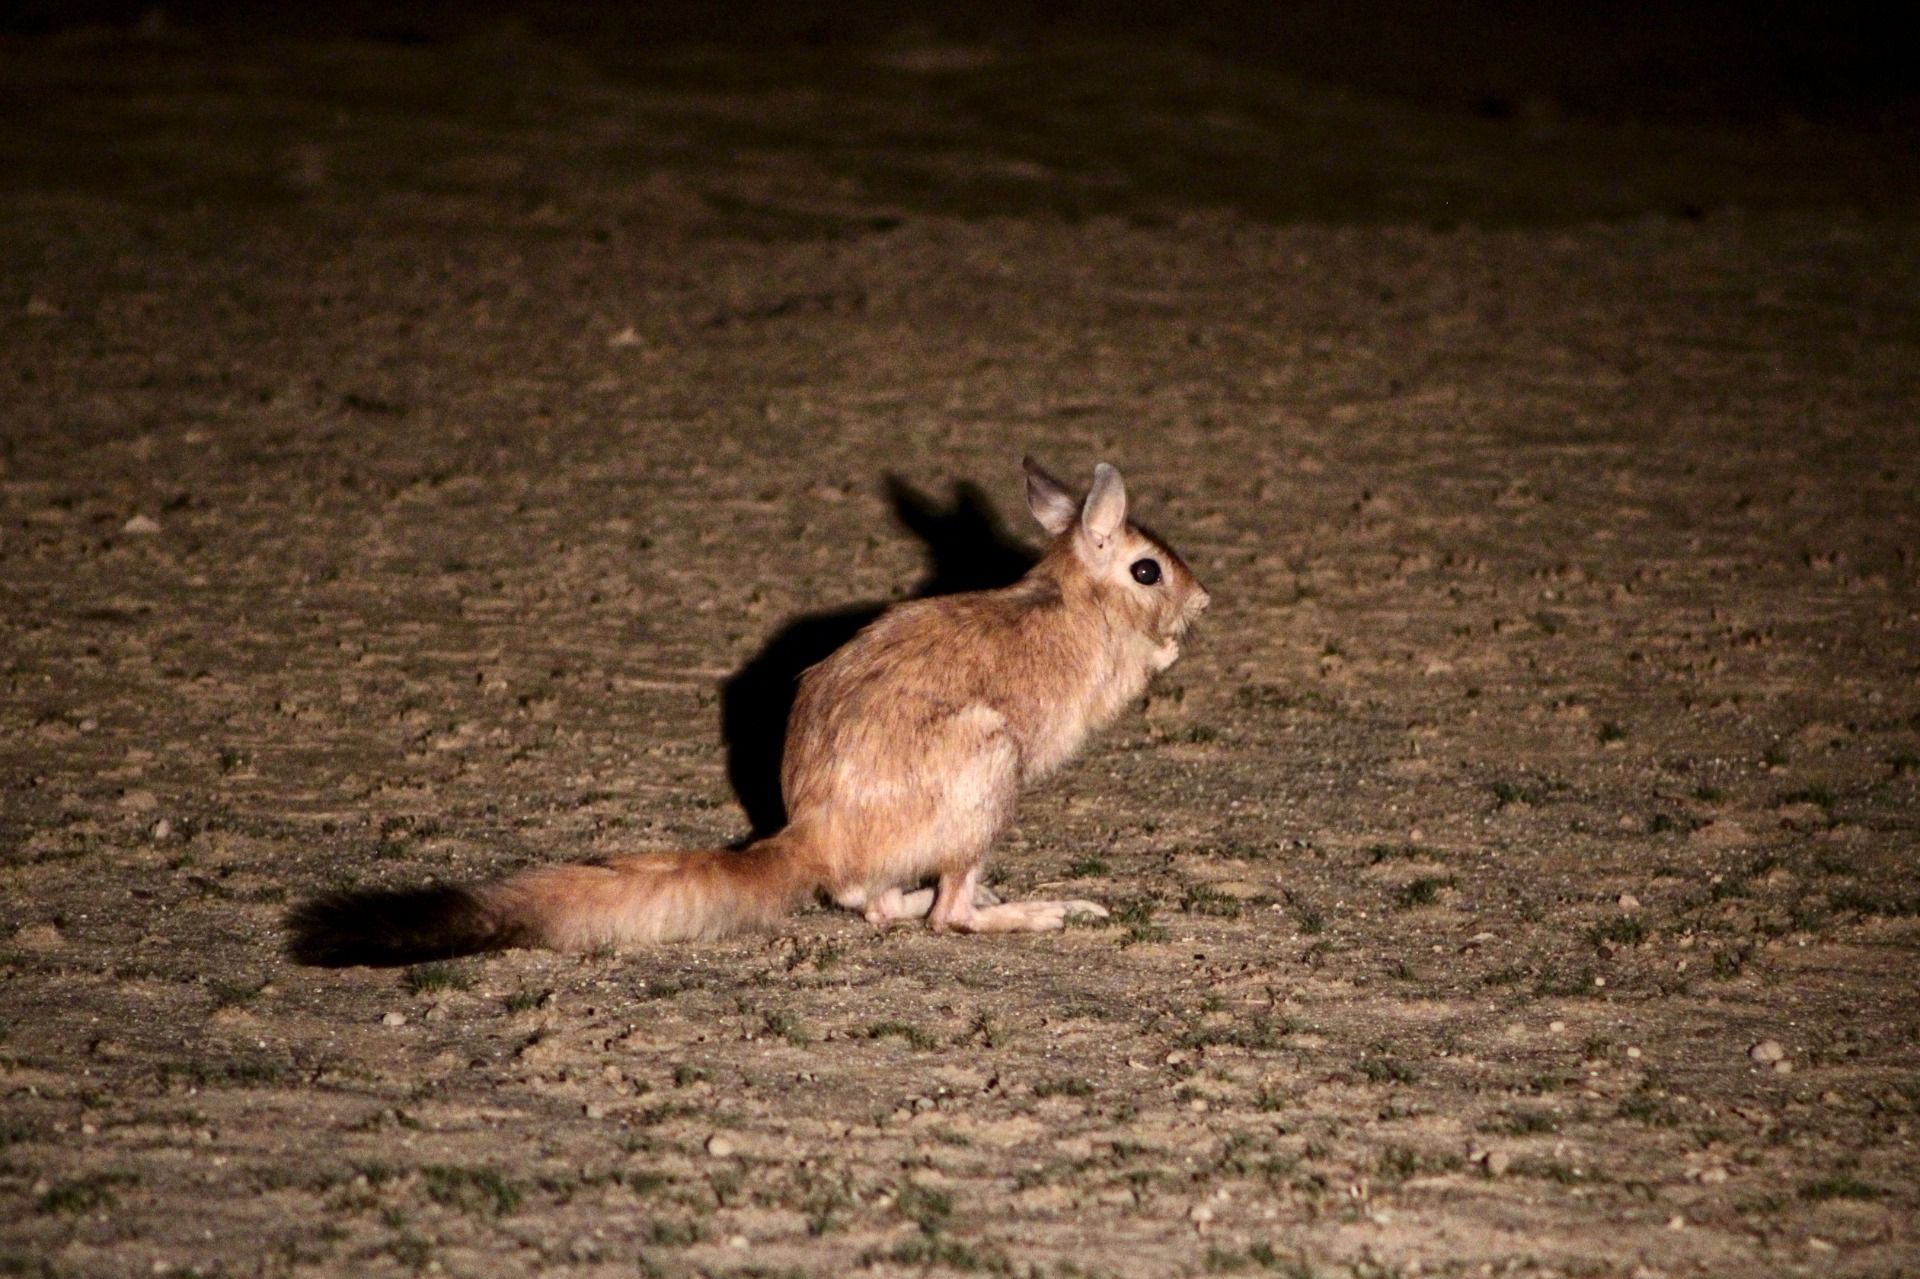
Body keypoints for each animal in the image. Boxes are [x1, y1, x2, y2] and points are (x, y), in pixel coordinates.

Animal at [288, 457, 1209, 965]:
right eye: (1148, 570)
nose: (1207, 598)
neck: (1070, 591)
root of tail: (808, 838)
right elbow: (1148, 663)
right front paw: (1174, 645)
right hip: (991, 773)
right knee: (944, 914)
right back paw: (1043, 909)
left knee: (873, 905)